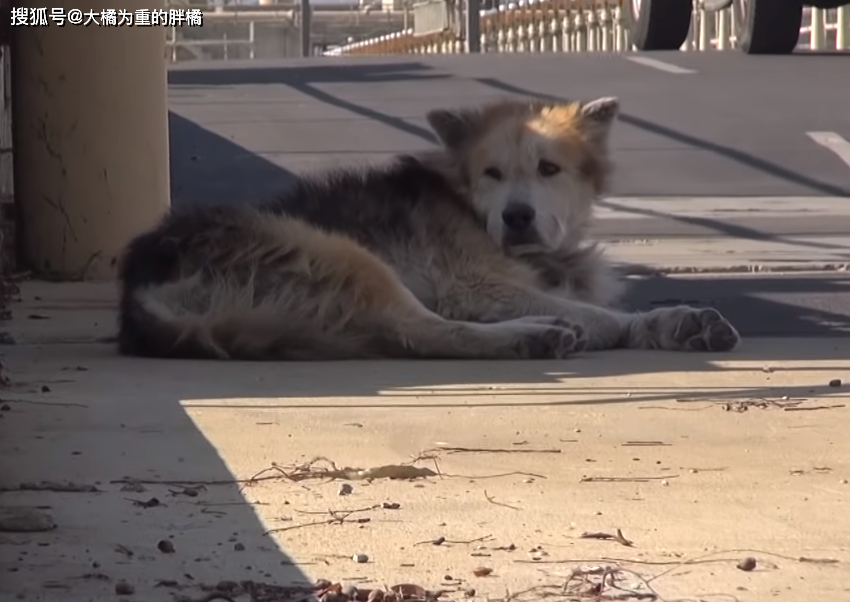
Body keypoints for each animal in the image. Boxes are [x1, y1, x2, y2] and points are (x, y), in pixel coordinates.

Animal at [116, 96, 740, 358]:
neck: (469, 206)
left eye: (549, 169)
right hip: (340, 252)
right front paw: (658, 323)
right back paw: (530, 336)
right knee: (424, 331)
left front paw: (672, 323)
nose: (517, 217)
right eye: (491, 173)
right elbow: (597, 316)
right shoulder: (476, 286)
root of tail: (139, 282)